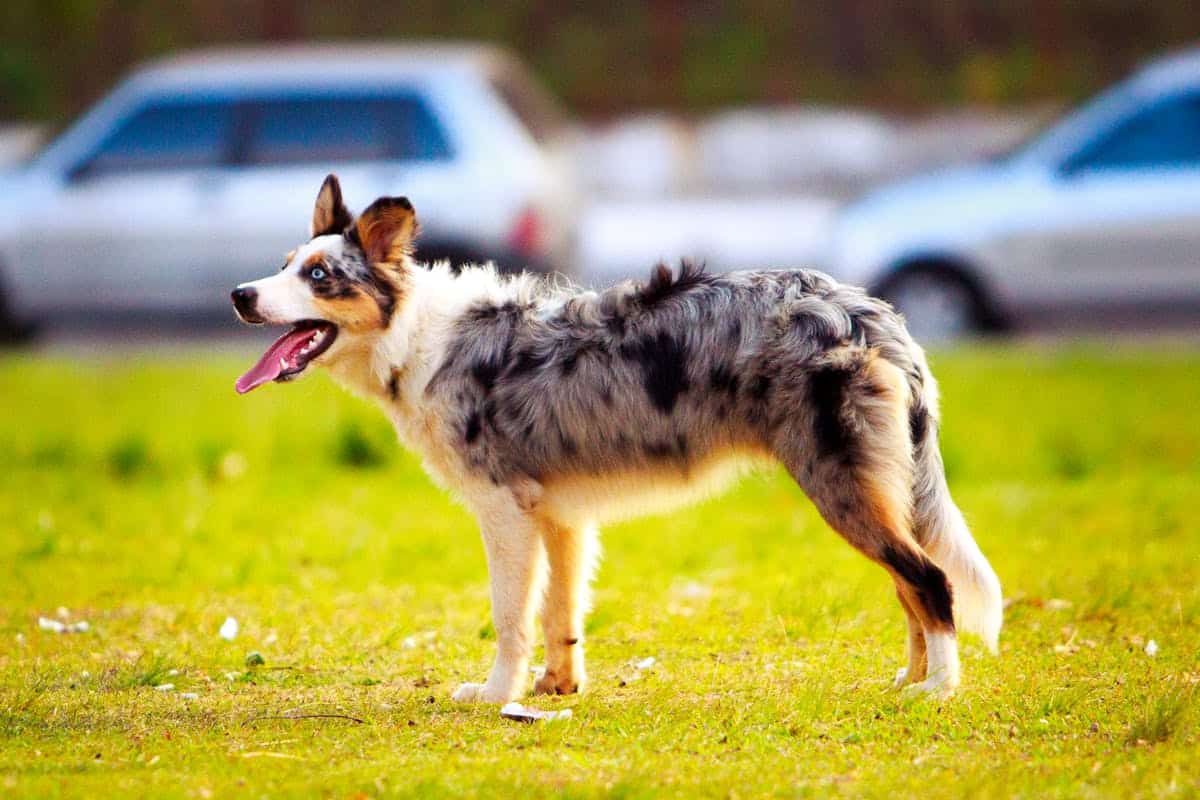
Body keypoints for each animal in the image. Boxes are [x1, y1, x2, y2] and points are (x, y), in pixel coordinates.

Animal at [229, 173, 998, 700]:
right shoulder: (559, 516)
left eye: (319, 276)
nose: (240, 295)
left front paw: (496, 694)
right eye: (285, 263)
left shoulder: (504, 512)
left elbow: (510, 615)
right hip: (873, 489)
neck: (416, 335)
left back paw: (939, 689)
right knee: (908, 584)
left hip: (839, 486)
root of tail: (871, 314)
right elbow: (559, 612)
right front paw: (554, 690)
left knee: (928, 579)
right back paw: (910, 679)